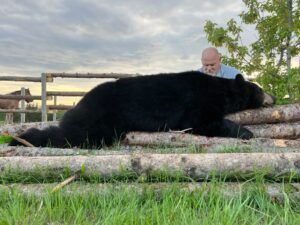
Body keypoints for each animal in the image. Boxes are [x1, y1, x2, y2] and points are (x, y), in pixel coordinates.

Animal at [9, 71, 276, 149]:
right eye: (261, 89)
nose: (273, 98)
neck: (220, 90)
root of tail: (82, 100)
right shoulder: (195, 102)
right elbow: (200, 122)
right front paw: (246, 132)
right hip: (100, 117)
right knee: (74, 135)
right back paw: (23, 138)